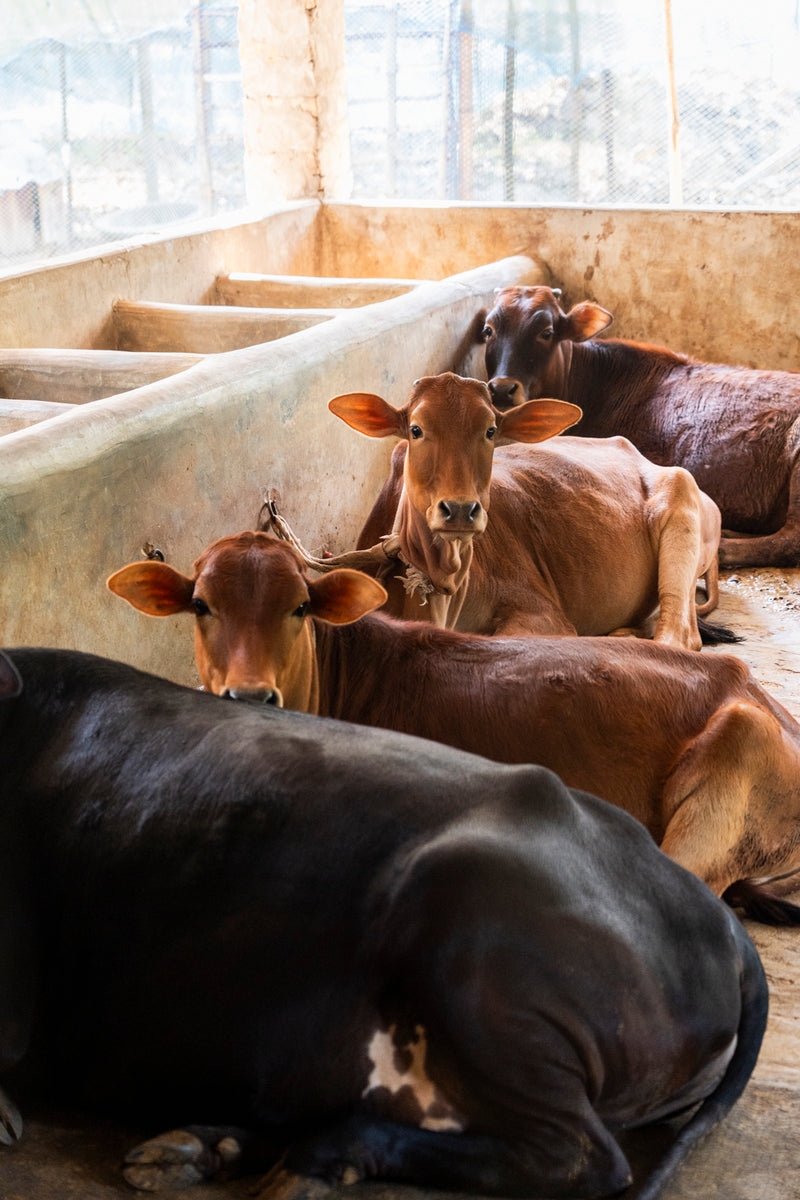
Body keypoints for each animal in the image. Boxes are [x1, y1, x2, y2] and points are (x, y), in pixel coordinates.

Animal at [326, 372, 730, 651]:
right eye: (415, 429)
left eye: (491, 431)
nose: (460, 510)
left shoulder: (542, 614)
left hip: (681, 507)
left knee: (678, 634)